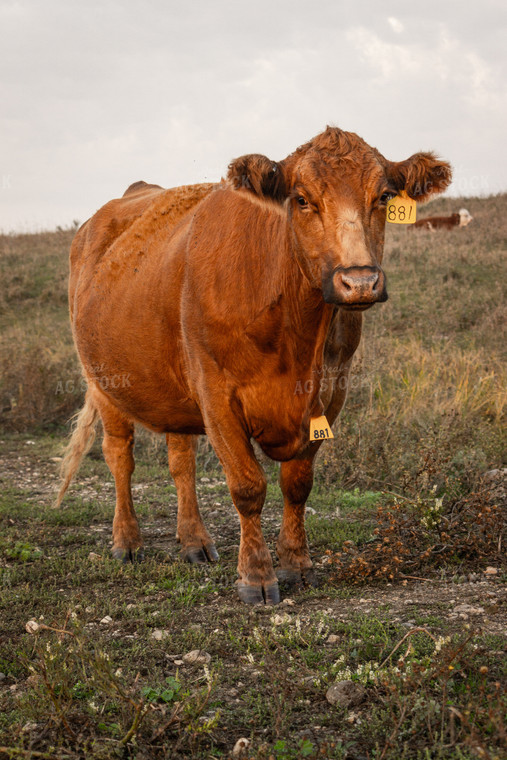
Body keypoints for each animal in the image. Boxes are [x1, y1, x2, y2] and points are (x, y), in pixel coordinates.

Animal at [56, 127, 452, 604]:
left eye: (384, 196)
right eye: (301, 199)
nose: (359, 281)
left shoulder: (331, 393)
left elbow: (297, 483)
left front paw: (297, 564)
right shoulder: (216, 394)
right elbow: (247, 486)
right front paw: (256, 576)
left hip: (174, 389)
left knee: (180, 460)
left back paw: (194, 541)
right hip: (104, 382)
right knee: (120, 457)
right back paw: (127, 541)